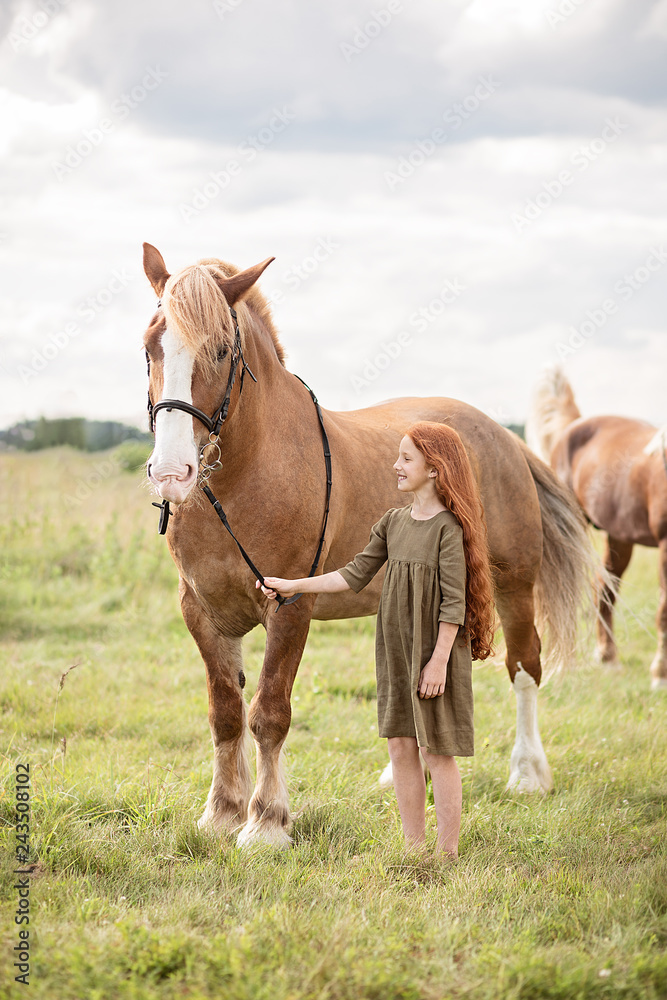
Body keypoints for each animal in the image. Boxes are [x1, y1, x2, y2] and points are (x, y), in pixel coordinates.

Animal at [141, 243, 597, 847]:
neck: (247, 474)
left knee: (524, 667)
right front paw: (221, 812)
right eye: (150, 346)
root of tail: (504, 437)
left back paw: (527, 774)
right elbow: (226, 712)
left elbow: (269, 712)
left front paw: (266, 822)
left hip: (513, 585)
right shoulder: (202, 612)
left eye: (218, 349)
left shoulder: (289, 604)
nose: (172, 472)